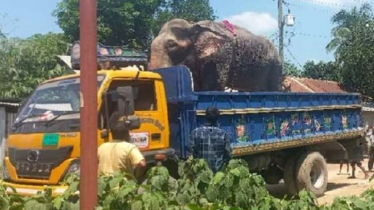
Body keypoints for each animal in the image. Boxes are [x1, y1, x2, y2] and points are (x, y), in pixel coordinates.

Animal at [150, 18, 282, 92]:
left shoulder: (220, 57)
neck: (193, 25)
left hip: (275, 66)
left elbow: (213, 87)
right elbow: (198, 86)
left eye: (172, 45)